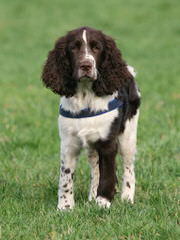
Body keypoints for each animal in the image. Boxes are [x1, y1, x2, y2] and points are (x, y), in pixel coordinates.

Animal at [41, 26, 140, 210]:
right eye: (73, 48)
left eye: (97, 48)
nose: (86, 65)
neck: (86, 95)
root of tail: (128, 71)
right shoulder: (68, 143)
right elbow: (66, 177)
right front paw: (65, 207)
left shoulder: (108, 142)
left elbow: (107, 173)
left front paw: (103, 202)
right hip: (92, 145)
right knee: (95, 167)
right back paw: (92, 196)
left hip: (128, 135)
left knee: (128, 167)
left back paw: (127, 198)